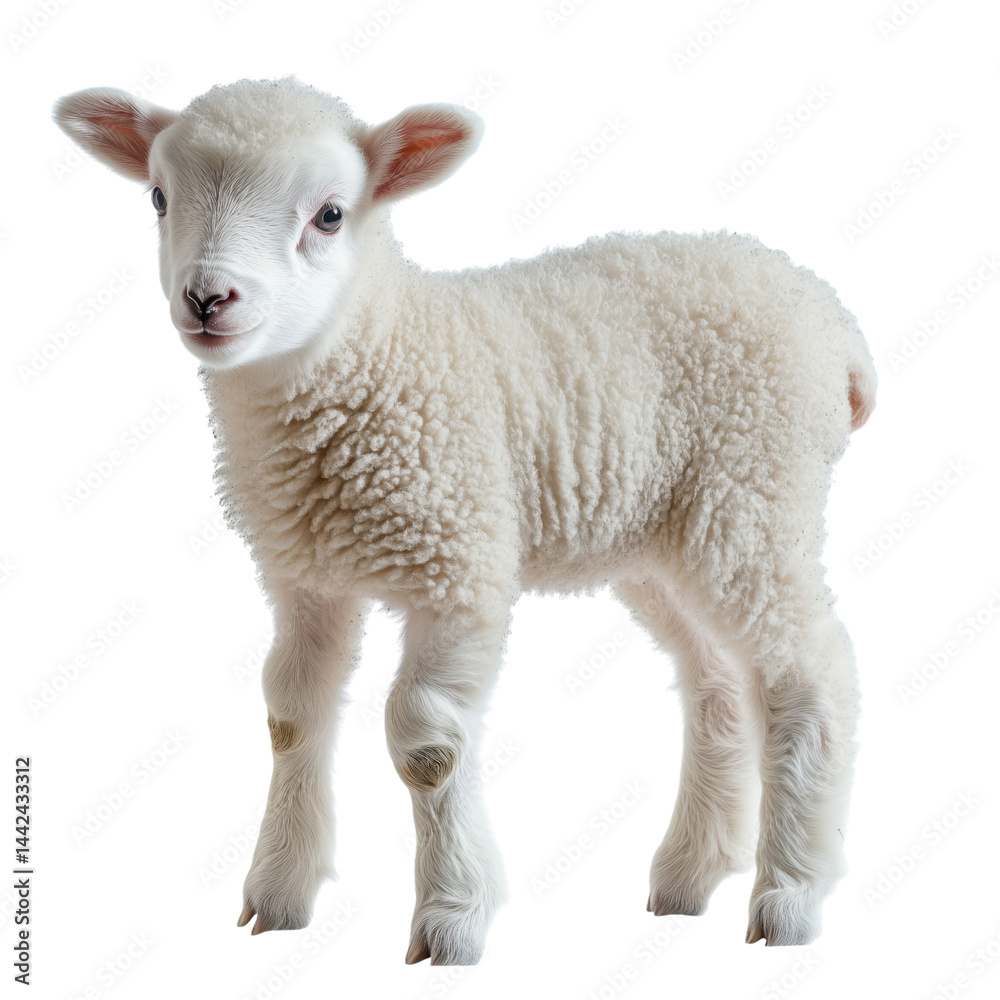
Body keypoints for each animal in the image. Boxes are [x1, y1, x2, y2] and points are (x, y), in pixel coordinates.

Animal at [53, 75, 876, 966]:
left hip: (754, 494)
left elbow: (428, 744)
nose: (208, 298)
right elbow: (291, 715)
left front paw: (451, 917)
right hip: (664, 539)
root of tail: (835, 325)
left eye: (331, 214)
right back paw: (689, 875)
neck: (378, 348)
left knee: (810, 669)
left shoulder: (459, 564)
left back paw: (790, 893)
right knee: (716, 679)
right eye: (160, 198)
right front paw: (278, 894)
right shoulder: (305, 577)